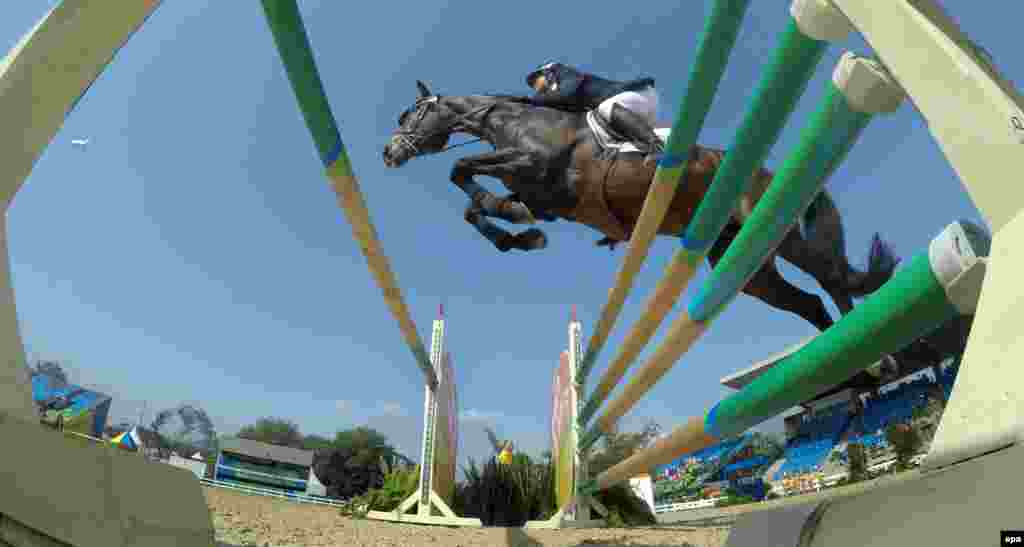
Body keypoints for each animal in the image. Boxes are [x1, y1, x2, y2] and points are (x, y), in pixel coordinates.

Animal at [382, 80, 897, 329]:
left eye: (411, 114)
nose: (388, 153)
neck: (514, 121)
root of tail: (769, 172)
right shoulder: (543, 195)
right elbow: (473, 200)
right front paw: (521, 236)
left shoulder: (535, 164)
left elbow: (461, 167)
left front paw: (516, 224)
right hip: (741, 259)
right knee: (807, 302)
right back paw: (859, 373)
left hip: (778, 233)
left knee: (831, 278)